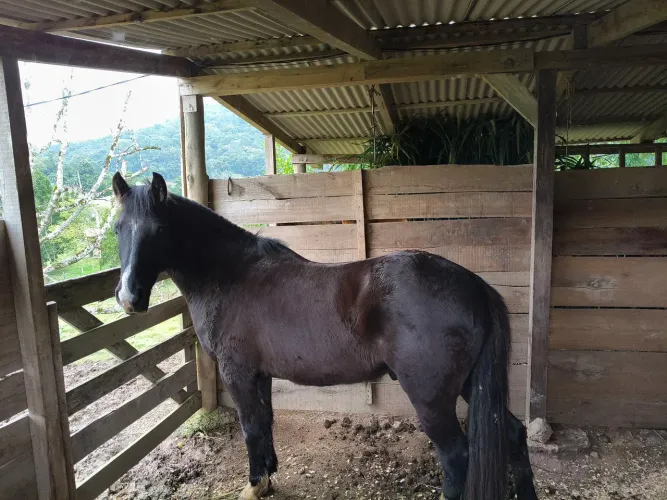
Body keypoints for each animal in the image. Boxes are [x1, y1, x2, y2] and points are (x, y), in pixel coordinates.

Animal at [111, 172, 537, 500]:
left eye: (159, 229)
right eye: (118, 228)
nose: (129, 297)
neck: (230, 275)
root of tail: (474, 285)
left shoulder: (238, 373)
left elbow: (250, 427)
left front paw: (254, 484)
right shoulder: (260, 374)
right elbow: (265, 421)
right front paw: (268, 476)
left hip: (432, 398)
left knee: (455, 459)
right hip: (468, 384)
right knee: (514, 435)